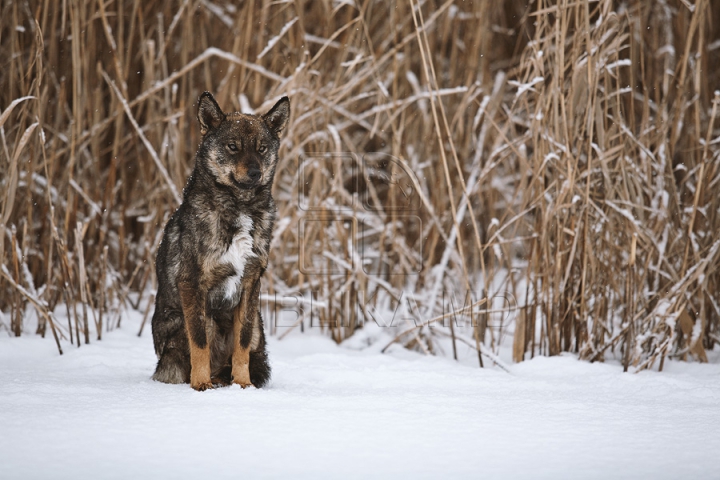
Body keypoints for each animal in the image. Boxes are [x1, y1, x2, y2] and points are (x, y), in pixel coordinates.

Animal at [150, 91, 288, 390]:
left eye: (262, 149)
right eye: (233, 147)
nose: (255, 173)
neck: (240, 208)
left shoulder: (250, 285)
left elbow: (242, 345)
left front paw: (243, 384)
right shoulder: (192, 284)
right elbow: (200, 343)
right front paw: (200, 385)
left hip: (258, 324)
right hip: (198, 319)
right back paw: (207, 379)